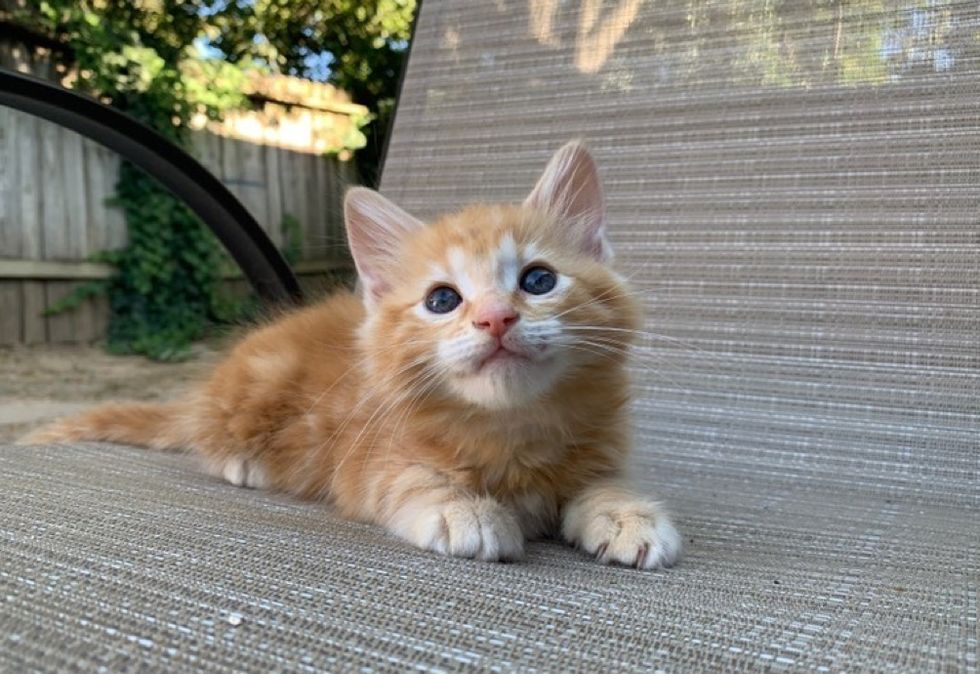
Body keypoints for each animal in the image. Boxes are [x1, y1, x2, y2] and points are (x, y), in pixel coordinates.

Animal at [23, 140, 680, 568]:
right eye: (442, 299)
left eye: (539, 281)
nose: (496, 317)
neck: (509, 429)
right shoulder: (367, 463)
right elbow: (411, 480)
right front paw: (465, 510)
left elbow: (603, 480)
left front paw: (626, 513)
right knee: (207, 441)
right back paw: (243, 463)